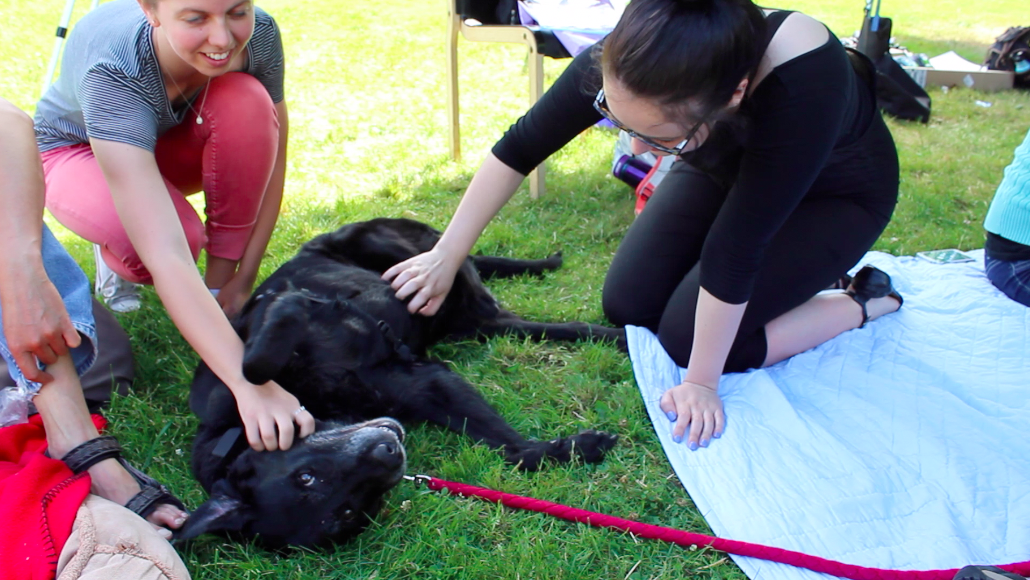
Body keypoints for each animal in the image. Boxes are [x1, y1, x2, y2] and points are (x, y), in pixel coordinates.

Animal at [176, 218, 618, 548]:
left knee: (463, 261)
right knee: (536, 323)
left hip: (401, 251)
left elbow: (255, 361)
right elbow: (514, 451)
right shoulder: (425, 385)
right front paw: (574, 448)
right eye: (349, 511)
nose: (390, 454)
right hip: (479, 322)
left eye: (306, 476)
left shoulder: (264, 326)